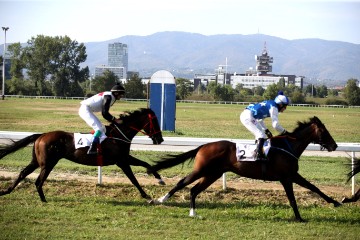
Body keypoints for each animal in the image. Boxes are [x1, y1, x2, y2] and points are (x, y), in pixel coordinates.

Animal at [0, 108, 163, 202]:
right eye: (155, 121)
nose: (160, 139)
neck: (118, 135)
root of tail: (41, 135)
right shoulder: (122, 161)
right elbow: (134, 179)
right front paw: (147, 196)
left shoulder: (124, 158)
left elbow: (145, 164)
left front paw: (159, 179)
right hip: (48, 163)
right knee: (38, 181)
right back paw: (43, 199)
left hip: (37, 161)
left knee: (23, 173)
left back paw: (6, 191)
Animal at [150, 116, 342, 221]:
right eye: (324, 131)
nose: (335, 145)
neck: (288, 146)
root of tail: (203, 146)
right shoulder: (287, 177)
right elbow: (293, 198)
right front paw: (299, 218)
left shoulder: (292, 175)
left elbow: (314, 187)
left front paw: (336, 202)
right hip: (202, 170)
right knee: (182, 183)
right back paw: (160, 200)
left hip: (213, 173)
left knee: (194, 190)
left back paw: (193, 213)